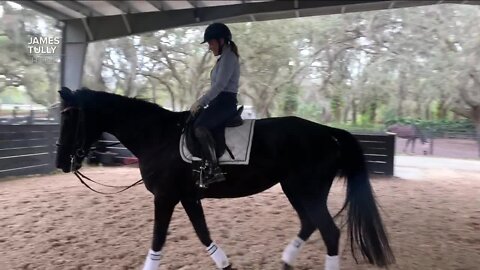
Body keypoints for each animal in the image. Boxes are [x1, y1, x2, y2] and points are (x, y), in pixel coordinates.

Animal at [55, 88, 394, 270]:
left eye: (71, 117)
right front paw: (225, 263)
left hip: (306, 191)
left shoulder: (165, 197)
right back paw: (285, 260)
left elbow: (158, 239)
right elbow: (203, 234)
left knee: (330, 233)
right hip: (296, 190)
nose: (60, 162)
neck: (158, 136)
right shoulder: (188, 197)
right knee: (310, 224)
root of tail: (328, 133)